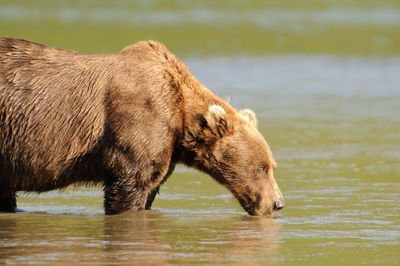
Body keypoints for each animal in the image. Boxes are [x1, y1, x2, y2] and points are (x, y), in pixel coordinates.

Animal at [0, 37, 284, 215]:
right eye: (262, 167)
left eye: (271, 165)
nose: (278, 203)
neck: (181, 116)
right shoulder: (140, 120)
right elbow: (130, 185)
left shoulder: (167, 145)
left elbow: (150, 185)